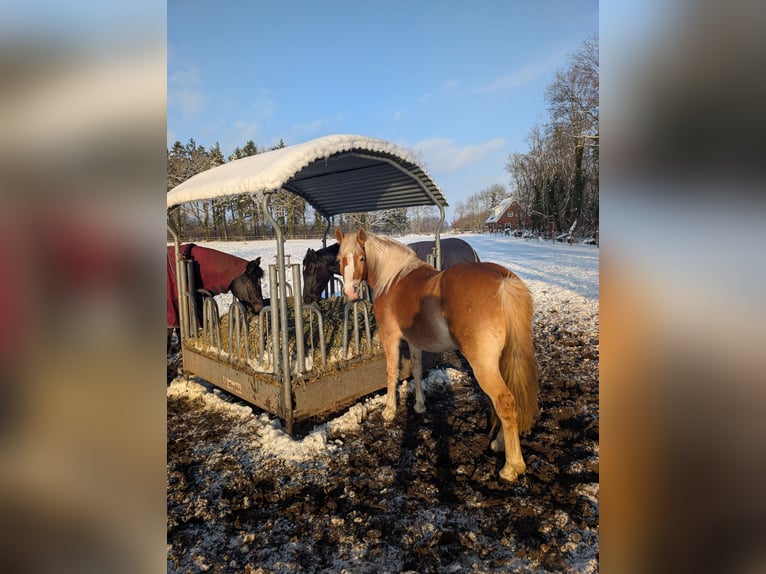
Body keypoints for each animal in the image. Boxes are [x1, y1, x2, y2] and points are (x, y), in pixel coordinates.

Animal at [336, 228, 538, 483]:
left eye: (361, 258)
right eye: (339, 259)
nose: (350, 291)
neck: (394, 280)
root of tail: (503, 281)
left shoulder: (391, 338)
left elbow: (392, 372)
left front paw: (390, 410)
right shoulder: (414, 342)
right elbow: (416, 370)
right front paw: (419, 405)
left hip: (483, 366)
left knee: (504, 402)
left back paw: (511, 467)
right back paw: (499, 444)